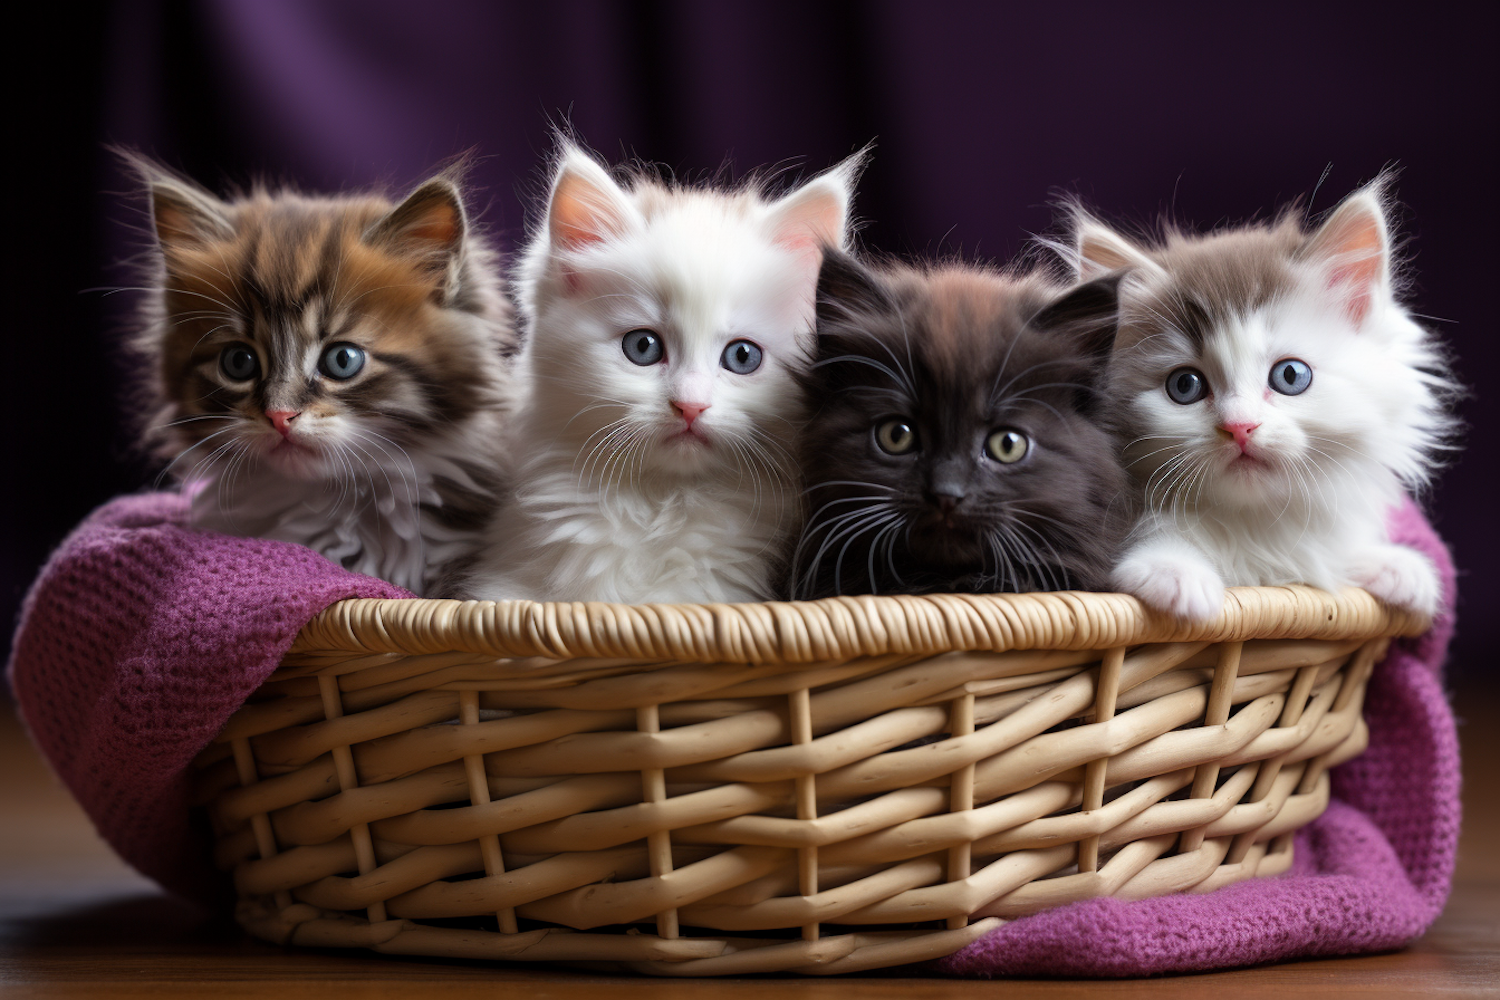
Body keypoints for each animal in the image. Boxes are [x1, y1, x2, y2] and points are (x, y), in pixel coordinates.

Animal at [1068, 177, 1452, 617]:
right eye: (1184, 386)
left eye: (1290, 376)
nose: (1239, 426)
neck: (1253, 524)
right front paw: (1173, 570)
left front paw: (1392, 565)